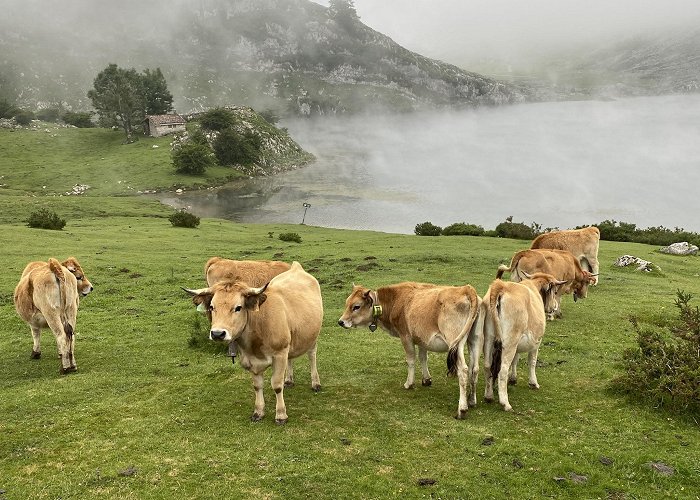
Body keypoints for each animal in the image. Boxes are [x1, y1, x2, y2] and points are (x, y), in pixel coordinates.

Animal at [182, 260, 322, 424]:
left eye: (238, 307)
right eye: (211, 306)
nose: (217, 333)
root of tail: (296, 268)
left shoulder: (279, 354)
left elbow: (276, 385)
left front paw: (281, 414)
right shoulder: (250, 359)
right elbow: (257, 386)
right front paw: (258, 411)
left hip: (312, 337)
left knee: (312, 356)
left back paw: (315, 383)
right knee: (291, 358)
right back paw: (289, 380)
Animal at [338, 284, 482, 420]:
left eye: (356, 306)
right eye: (347, 303)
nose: (341, 322)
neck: (395, 300)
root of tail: (466, 289)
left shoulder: (405, 336)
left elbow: (411, 360)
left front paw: (409, 383)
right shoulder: (423, 338)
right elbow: (423, 357)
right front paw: (426, 379)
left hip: (456, 343)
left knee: (463, 370)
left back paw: (462, 409)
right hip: (475, 340)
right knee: (474, 369)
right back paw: (471, 400)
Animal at [478, 274, 568, 410]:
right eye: (555, 291)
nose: (554, 307)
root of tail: (501, 286)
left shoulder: (518, 345)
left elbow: (515, 360)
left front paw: (513, 378)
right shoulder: (536, 342)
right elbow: (532, 362)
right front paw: (533, 383)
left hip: (489, 339)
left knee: (488, 366)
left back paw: (489, 396)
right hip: (510, 342)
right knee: (502, 370)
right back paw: (505, 403)